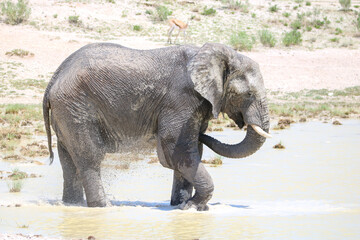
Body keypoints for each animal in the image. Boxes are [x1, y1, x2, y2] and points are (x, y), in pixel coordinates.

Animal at [43, 42, 270, 211]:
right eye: (249, 94)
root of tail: (54, 78)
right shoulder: (181, 100)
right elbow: (176, 149)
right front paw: (193, 207)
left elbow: (191, 151)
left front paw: (181, 205)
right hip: (76, 108)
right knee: (90, 157)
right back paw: (104, 207)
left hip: (67, 111)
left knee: (68, 161)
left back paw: (73, 205)